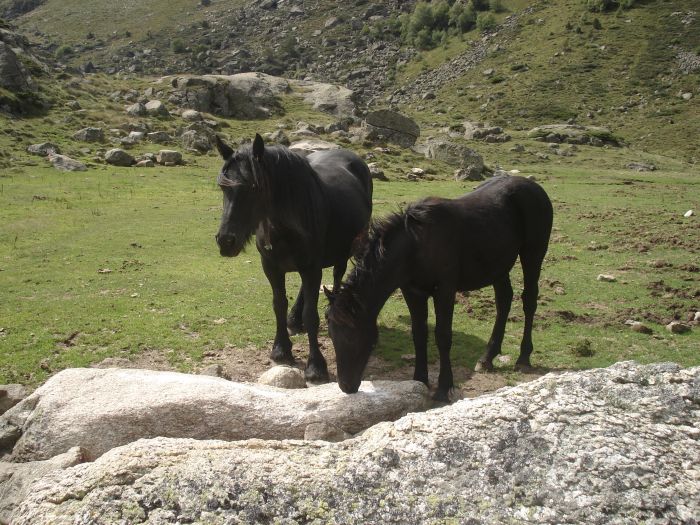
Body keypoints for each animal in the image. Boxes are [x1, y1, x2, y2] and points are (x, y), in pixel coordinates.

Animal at [216, 134, 374, 380]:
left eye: (254, 187)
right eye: (223, 187)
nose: (226, 241)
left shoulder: (311, 267)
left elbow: (311, 314)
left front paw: (316, 366)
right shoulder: (271, 267)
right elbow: (278, 305)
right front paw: (281, 349)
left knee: (337, 273)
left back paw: (331, 309)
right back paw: (294, 319)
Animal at [326, 174, 552, 400]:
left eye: (353, 337)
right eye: (332, 336)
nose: (346, 386)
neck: (416, 246)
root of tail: (533, 186)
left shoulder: (445, 290)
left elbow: (443, 336)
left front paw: (444, 388)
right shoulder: (412, 292)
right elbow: (419, 334)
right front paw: (419, 380)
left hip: (532, 255)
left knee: (529, 301)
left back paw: (523, 357)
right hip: (498, 265)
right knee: (504, 300)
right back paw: (487, 357)